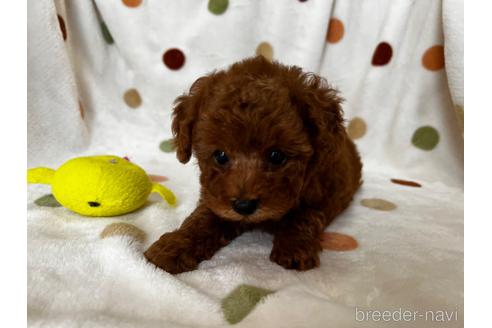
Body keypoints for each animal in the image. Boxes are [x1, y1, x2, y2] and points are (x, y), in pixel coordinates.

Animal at [143, 57, 362, 274]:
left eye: (276, 156)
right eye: (220, 156)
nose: (244, 206)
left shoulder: (323, 193)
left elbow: (304, 216)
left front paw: (294, 248)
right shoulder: (215, 197)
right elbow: (202, 219)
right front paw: (173, 247)